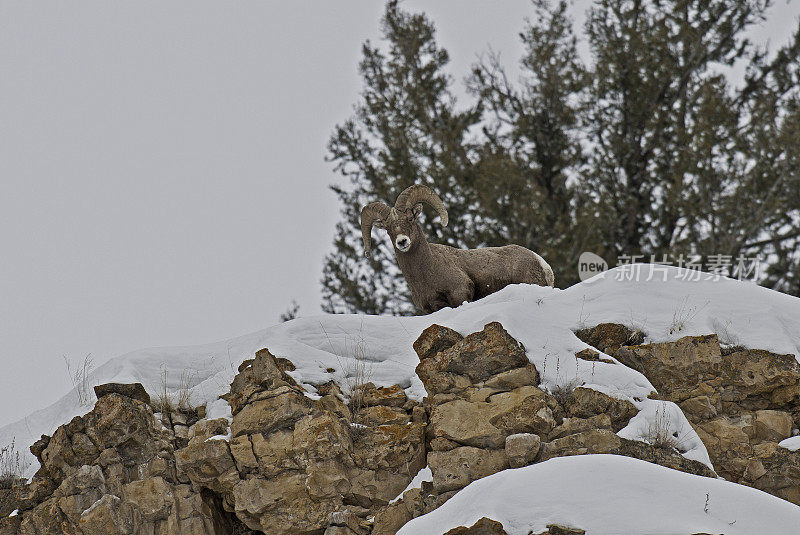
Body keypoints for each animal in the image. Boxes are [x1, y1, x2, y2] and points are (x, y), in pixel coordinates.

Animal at [360, 184, 552, 314]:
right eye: (388, 228)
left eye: (410, 219)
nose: (402, 242)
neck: (426, 271)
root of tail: (542, 263)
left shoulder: (460, 293)